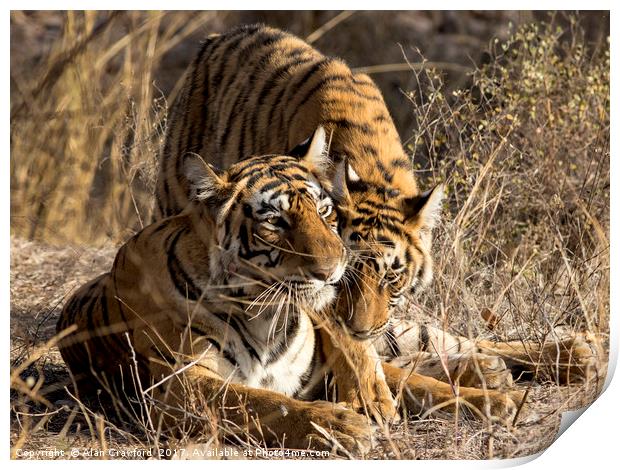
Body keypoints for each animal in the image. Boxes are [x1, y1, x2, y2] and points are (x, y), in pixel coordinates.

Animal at [57, 130, 524, 454]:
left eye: (325, 210)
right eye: (275, 222)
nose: (334, 271)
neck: (265, 315)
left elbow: (415, 384)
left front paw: (496, 403)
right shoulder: (180, 385)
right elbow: (261, 402)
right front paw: (342, 426)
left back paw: (496, 375)